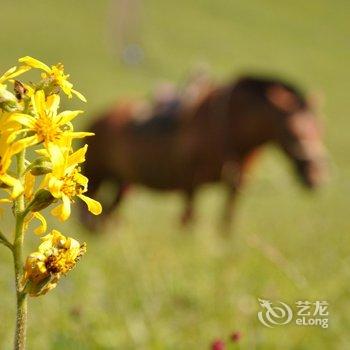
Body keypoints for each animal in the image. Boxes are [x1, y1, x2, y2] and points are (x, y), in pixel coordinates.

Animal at [82, 76, 328, 227]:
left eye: (320, 127)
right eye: (293, 130)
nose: (316, 176)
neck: (230, 129)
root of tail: (99, 117)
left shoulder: (236, 184)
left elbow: (226, 221)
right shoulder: (190, 182)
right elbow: (188, 220)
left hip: (123, 181)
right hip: (97, 174)